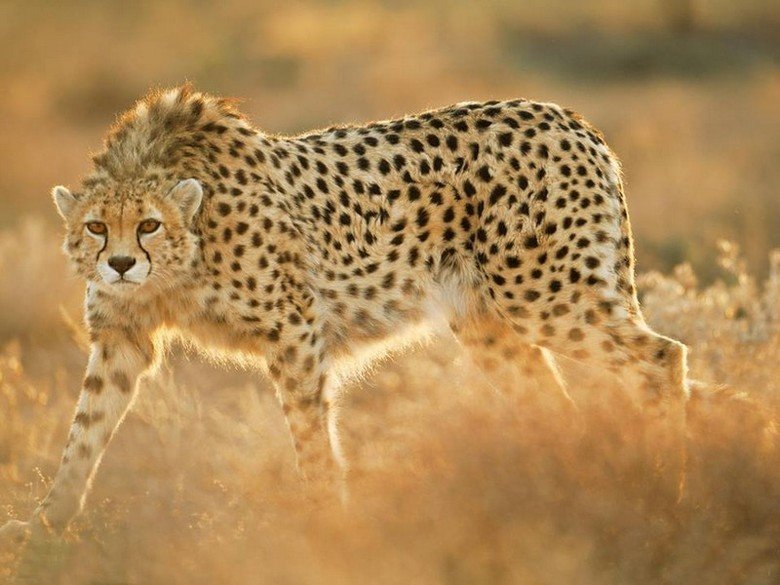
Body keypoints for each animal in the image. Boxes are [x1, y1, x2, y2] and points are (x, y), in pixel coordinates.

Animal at [0, 85, 688, 543]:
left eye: (148, 224)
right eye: (95, 227)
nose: (120, 264)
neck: (182, 259)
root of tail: (568, 117)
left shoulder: (295, 328)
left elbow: (310, 435)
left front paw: (326, 521)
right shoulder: (122, 339)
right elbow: (84, 431)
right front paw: (47, 523)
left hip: (545, 295)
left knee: (663, 355)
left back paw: (663, 489)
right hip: (490, 324)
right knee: (558, 403)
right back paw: (560, 495)